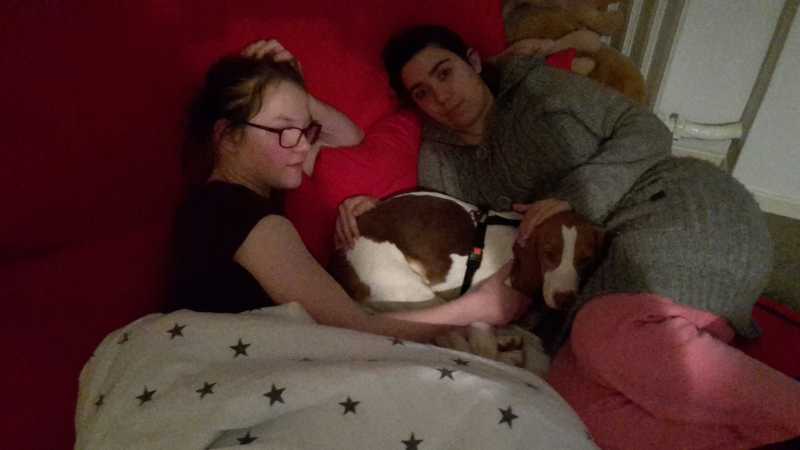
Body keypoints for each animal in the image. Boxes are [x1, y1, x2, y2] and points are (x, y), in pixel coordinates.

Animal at [330, 191, 604, 371]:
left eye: (586, 259)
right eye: (549, 254)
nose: (565, 299)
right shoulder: (481, 314)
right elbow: (484, 350)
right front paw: (505, 350)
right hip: (415, 293)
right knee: (460, 341)